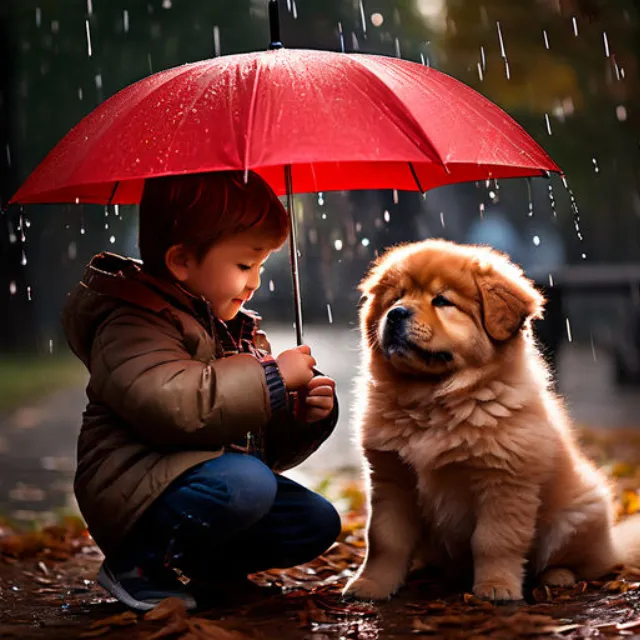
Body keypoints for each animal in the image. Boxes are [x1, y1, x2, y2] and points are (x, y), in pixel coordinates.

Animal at [344, 239, 640, 600]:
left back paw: (557, 578)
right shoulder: (392, 478)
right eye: (396, 298)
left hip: (581, 513)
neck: (431, 401)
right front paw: (371, 585)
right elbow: (384, 540)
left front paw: (496, 588)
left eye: (442, 300)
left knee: (582, 564)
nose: (396, 313)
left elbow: (494, 541)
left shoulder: (504, 481)